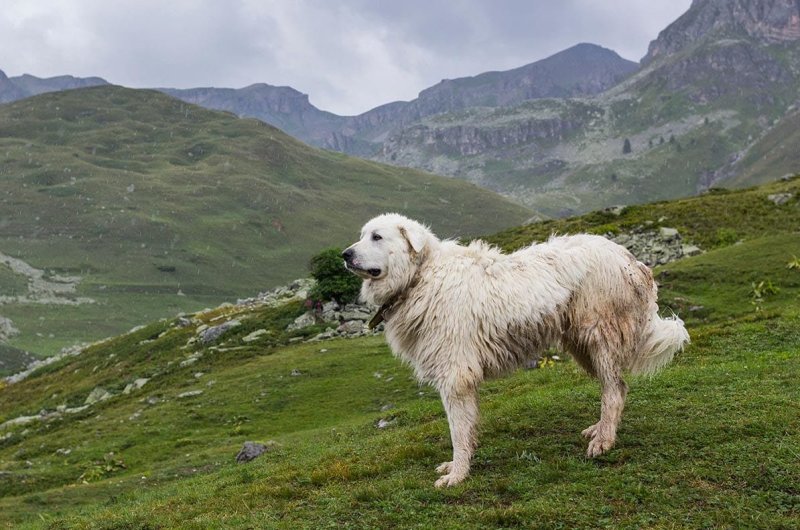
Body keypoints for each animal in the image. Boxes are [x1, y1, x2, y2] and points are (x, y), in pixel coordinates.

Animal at [344, 212, 688, 484]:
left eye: (377, 237)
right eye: (361, 235)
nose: (345, 255)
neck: (419, 277)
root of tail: (630, 259)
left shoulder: (455, 376)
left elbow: (457, 430)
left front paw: (457, 474)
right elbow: (467, 427)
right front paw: (459, 465)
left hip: (599, 337)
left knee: (614, 391)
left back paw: (604, 441)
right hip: (583, 345)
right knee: (615, 387)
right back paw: (600, 429)